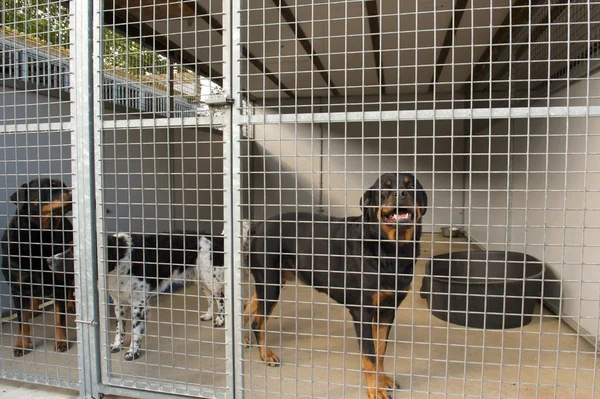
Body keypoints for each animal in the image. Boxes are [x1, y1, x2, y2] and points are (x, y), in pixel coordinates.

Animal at [0, 178, 73, 356]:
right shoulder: (17, 288)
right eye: (48, 187)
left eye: (64, 185)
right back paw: (33, 309)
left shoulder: (58, 282)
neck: (40, 238)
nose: (73, 190)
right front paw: (21, 344)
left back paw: (70, 305)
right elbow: (22, 321)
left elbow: (59, 318)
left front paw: (61, 341)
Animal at [47, 231, 225, 362]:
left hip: (211, 279)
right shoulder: (118, 302)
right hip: (200, 279)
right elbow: (119, 328)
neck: (119, 257)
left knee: (221, 300)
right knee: (211, 298)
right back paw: (209, 315)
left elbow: (136, 330)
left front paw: (133, 352)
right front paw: (117, 345)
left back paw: (220, 320)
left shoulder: (138, 304)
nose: (48, 260)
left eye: (73, 250)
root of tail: (214, 237)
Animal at [243, 173, 426, 399]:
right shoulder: (362, 312)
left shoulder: (388, 310)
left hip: (273, 282)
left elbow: (381, 350)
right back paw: (265, 355)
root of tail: (259, 225)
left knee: (246, 306)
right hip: (270, 285)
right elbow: (370, 356)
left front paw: (383, 380)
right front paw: (375, 390)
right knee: (257, 322)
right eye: (384, 188)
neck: (390, 251)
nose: (401, 193)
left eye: (412, 186)